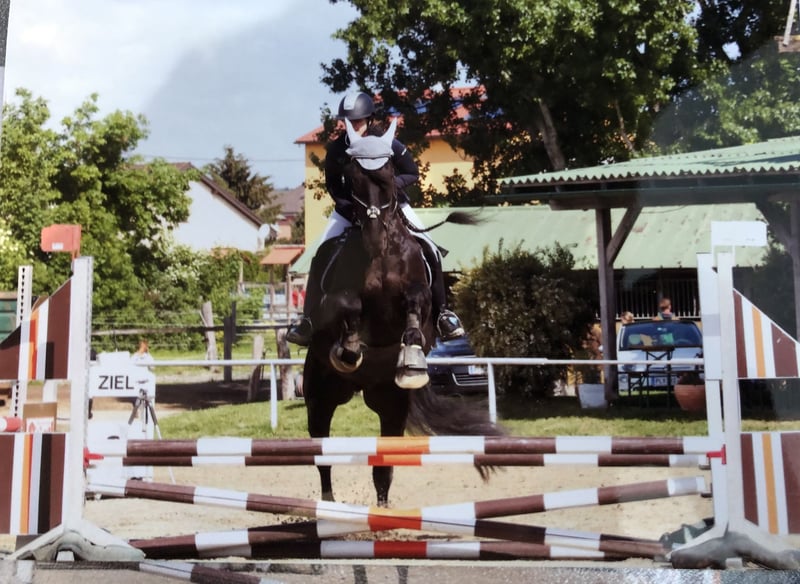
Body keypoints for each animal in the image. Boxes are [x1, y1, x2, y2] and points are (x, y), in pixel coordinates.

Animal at [301, 118, 502, 506]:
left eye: (389, 172)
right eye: (351, 176)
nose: (374, 236)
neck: (381, 254)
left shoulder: (418, 297)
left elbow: (414, 307)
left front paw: (410, 356)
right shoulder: (334, 300)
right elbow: (348, 305)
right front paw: (349, 347)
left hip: (389, 403)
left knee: (384, 468)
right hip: (320, 396)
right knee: (323, 457)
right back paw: (329, 505)